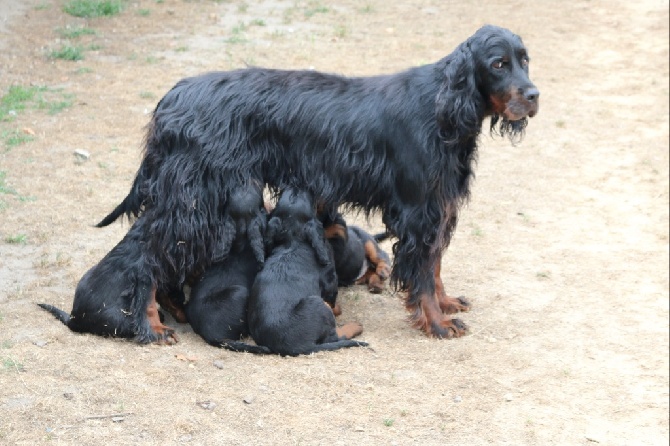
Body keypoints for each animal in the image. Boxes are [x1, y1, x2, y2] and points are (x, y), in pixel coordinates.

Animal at [222, 187, 368, 356]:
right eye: (310, 198)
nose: (299, 185)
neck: (293, 241)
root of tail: (298, 347)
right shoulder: (330, 280)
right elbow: (332, 301)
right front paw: (338, 309)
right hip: (316, 303)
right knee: (333, 336)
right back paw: (355, 326)